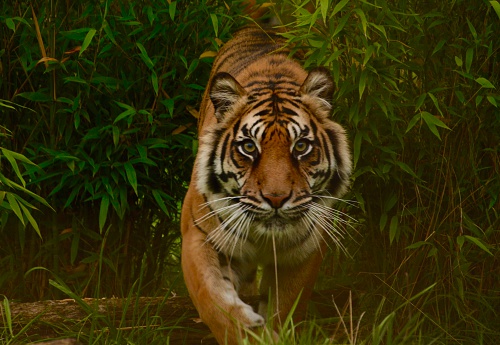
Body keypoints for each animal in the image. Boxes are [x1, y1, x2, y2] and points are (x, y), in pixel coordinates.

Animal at [181, 24, 352, 344]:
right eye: (249, 147)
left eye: (301, 147)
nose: (275, 198)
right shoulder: (199, 234)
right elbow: (212, 299)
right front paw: (246, 329)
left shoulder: (304, 251)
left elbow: (286, 307)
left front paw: (274, 333)